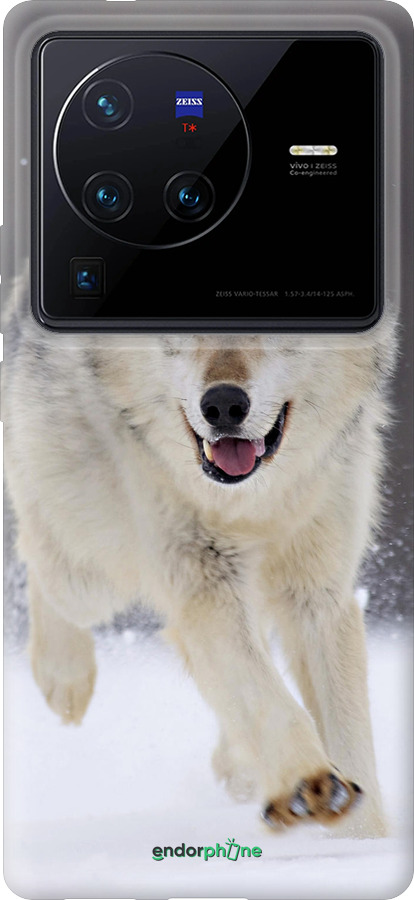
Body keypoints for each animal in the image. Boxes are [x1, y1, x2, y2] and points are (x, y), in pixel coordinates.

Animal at [3, 282, 397, 837]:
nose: (224, 404)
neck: (251, 503)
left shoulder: (318, 593)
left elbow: (348, 734)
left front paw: (362, 839)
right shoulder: (203, 581)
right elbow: (266, 697)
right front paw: (309, 782)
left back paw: (240, 766)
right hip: (89, 573)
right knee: (39, 557)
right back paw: (64, 679)